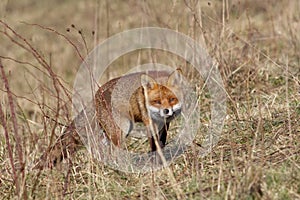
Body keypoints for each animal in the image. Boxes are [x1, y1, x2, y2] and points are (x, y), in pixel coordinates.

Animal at [33, 68, 183, 169]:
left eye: (172, 99)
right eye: (157, 101)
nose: (166, 111)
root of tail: (97, 94)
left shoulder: (164, 124)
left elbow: (161, 141)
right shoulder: (149, 123)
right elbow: (155, 145)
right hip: (121, 129)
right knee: (114, 152)